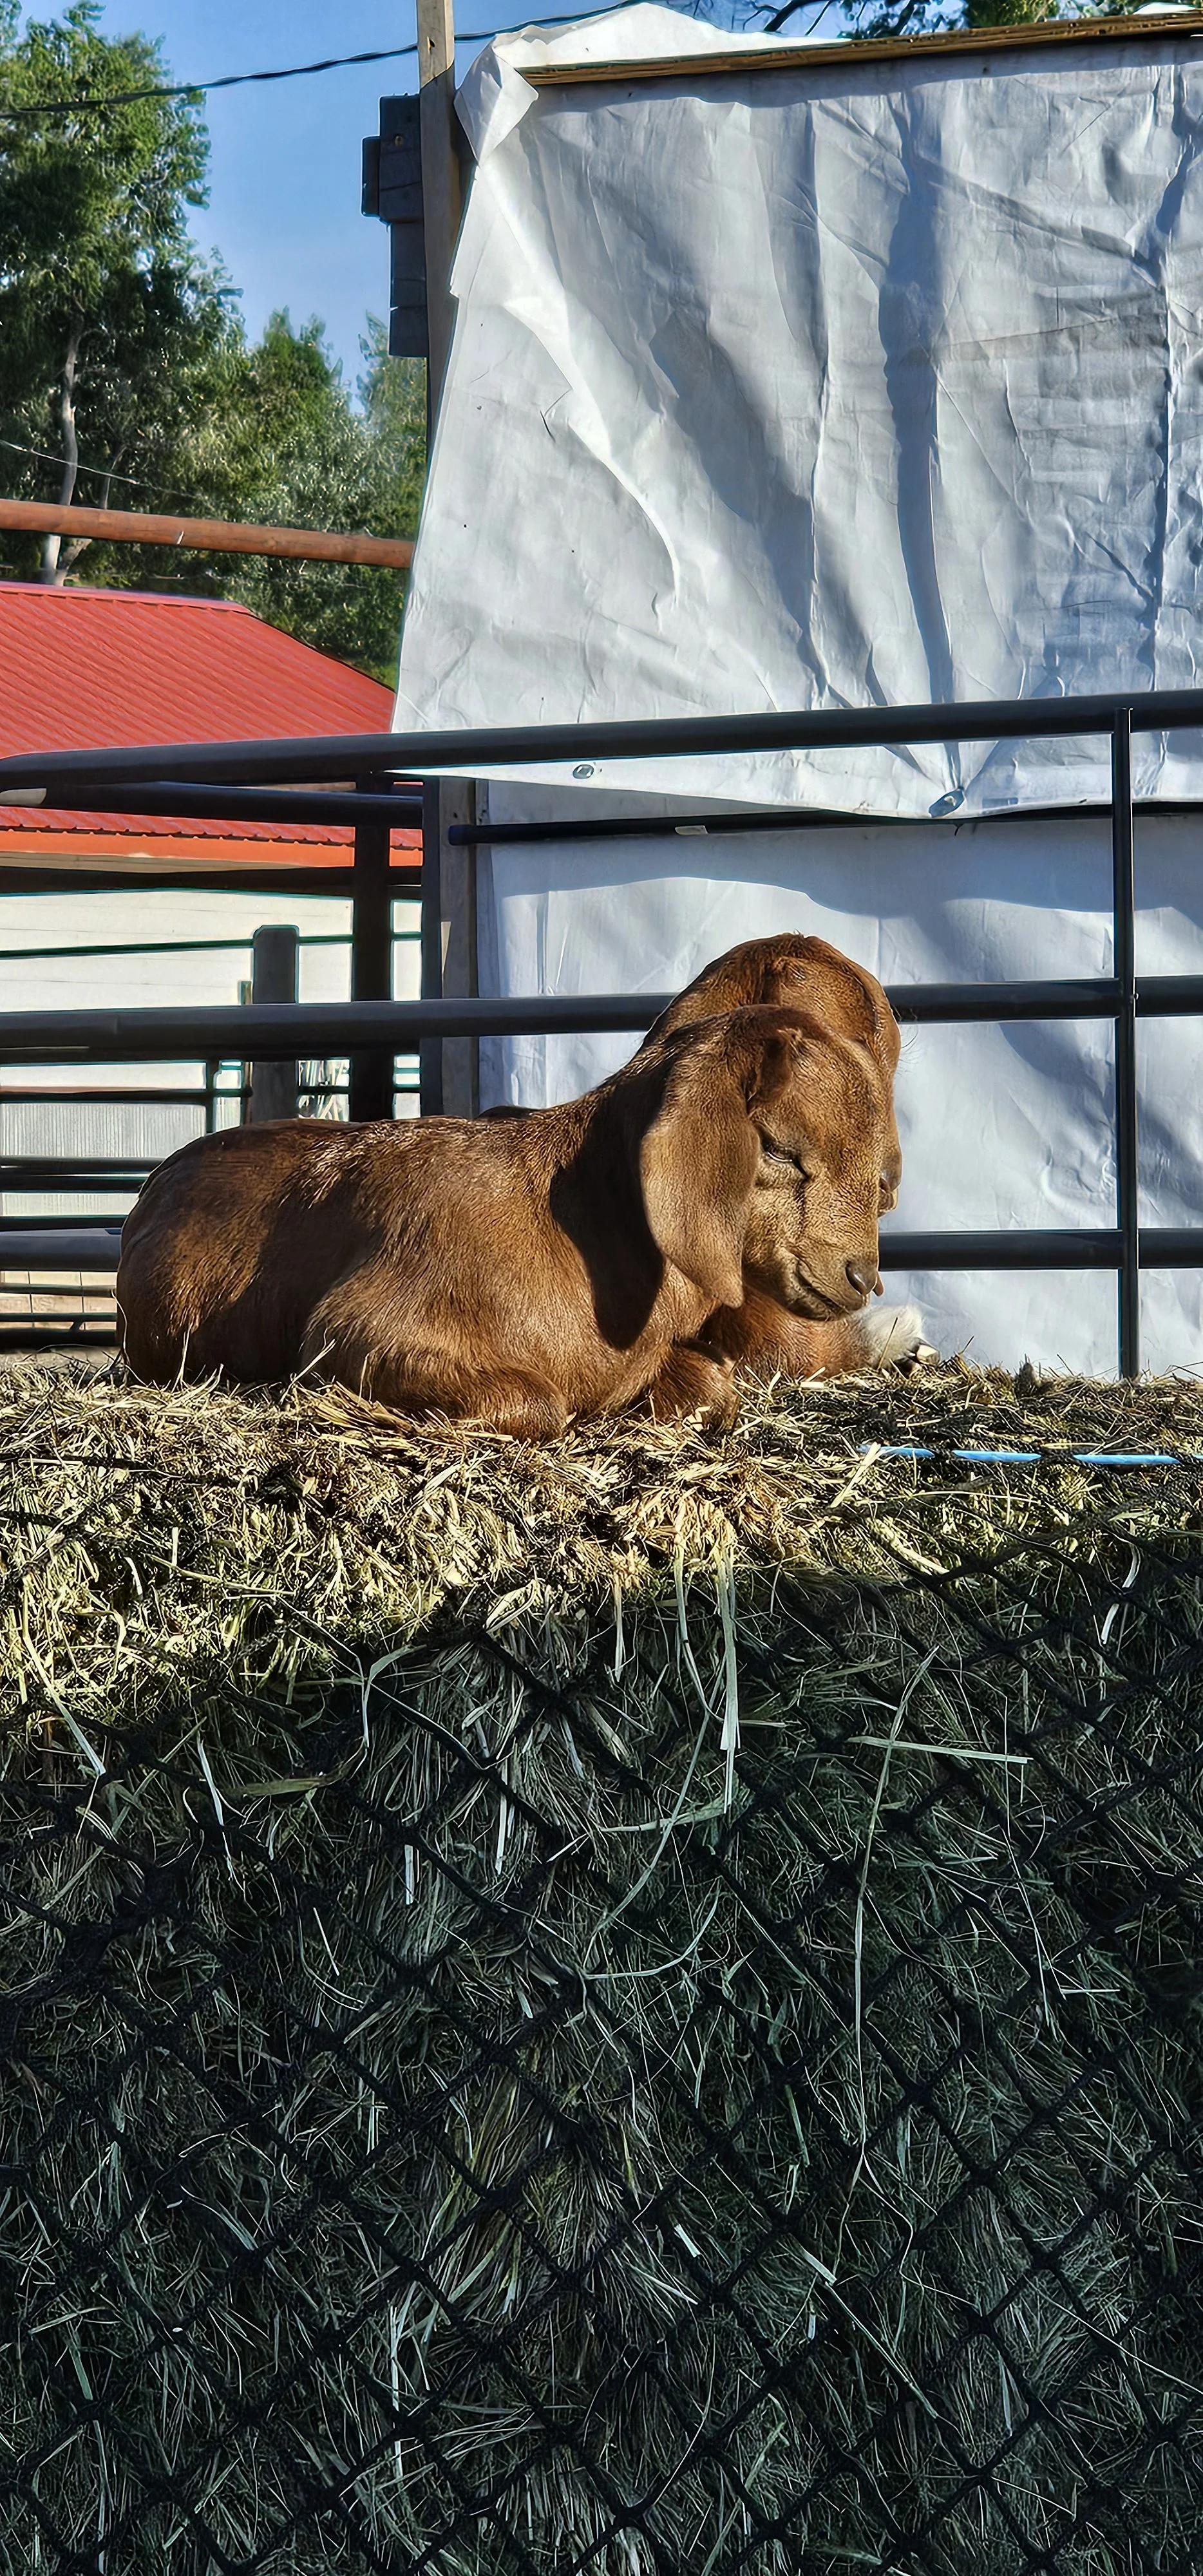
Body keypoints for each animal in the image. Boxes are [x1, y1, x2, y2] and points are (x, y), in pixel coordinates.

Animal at [118, 1003, 896, 1437]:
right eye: (779, 1148)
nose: (862, 1276)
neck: (585, 1232)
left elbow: (713, 1388)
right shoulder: (357, 1334)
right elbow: (542, 1404)